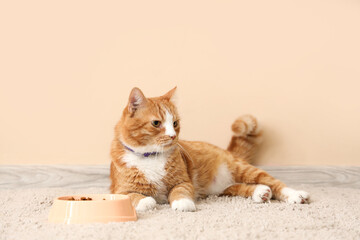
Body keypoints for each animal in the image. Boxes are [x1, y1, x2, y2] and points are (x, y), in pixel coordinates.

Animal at [110, 87, 310, 211]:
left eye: (175, 123)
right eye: (156, 123)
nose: (173, 136)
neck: (150, 156)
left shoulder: (183, 181)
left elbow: (179, 191)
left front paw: (183, 203)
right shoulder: (118, 190)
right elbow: (133, 196)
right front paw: (146, 201)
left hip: (243, 169)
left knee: (275, 183)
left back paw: (295, 195)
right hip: (223, 189)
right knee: (242, 187)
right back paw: (260, 193)